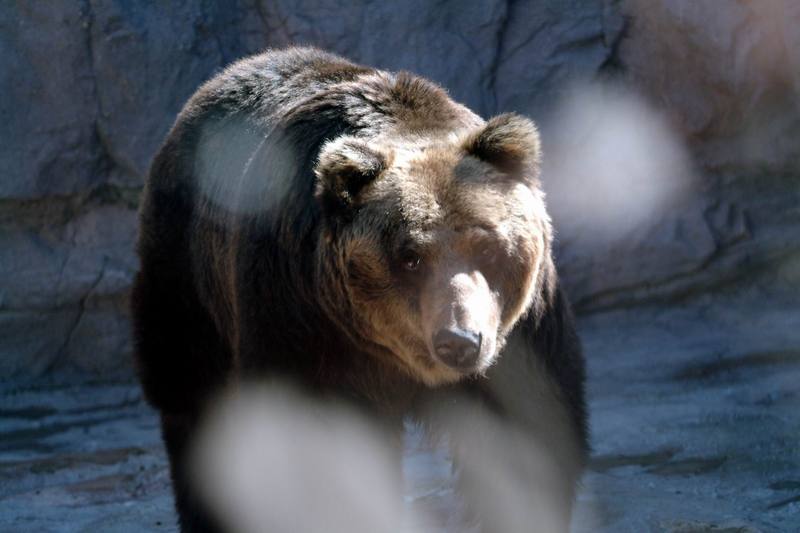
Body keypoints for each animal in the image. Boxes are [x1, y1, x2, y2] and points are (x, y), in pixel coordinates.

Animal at [133, 47, 588, 528]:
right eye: (410, 257)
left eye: (485, 246)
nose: (459, 341)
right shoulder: (301, 316)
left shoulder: (521, 330)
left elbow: (527, 438)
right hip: (187, 277)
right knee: (190, 395)